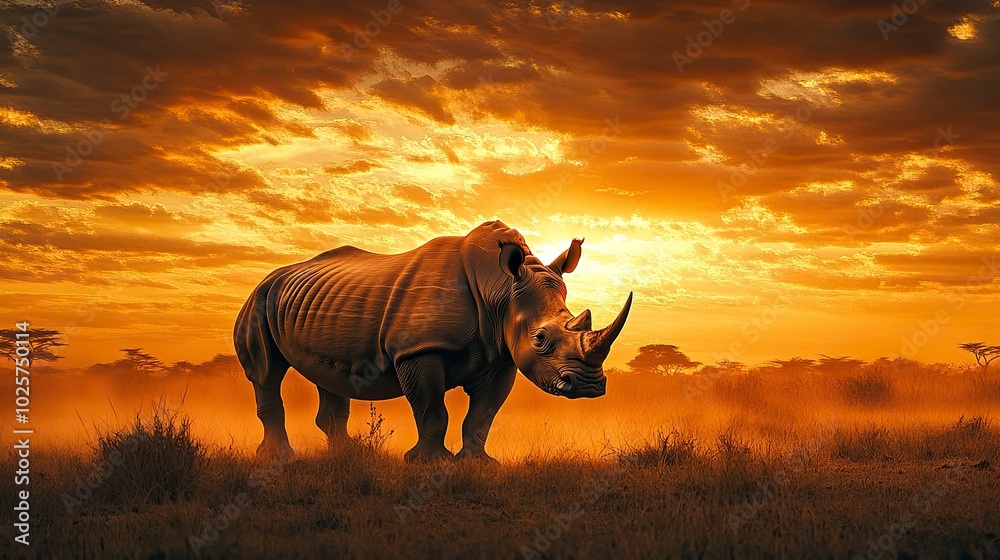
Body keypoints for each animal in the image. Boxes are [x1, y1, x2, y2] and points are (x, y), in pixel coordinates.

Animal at [234, 220, 632, 462]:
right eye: (540, 338)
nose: (589, 386)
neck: (500, 290)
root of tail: (273, 276)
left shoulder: (502, 354)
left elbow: (483, 413)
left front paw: (478, 463)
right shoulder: (418, 349)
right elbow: (432, 408)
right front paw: (429, 463)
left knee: (328, 377)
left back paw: (345, 456)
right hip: (258, 300)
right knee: (266, 373)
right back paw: (277, 457)